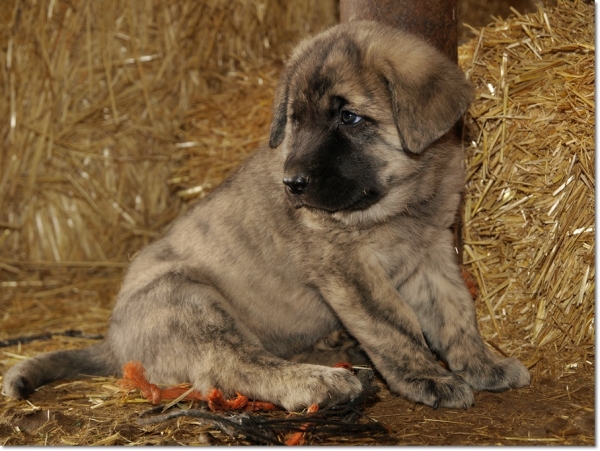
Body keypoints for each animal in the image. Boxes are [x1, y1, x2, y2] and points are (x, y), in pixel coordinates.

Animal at [3, 21, 528, 412]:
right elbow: (394, 325)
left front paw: (483, 365)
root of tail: (113, 345)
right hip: (189, 300)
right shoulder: (347, 267)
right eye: (295, 120)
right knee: (231, 366)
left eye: (349, 118)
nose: (292, 183)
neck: (400, 201)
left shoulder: (431, 252)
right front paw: (427, 379)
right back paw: (319, 382)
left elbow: (456, 313)